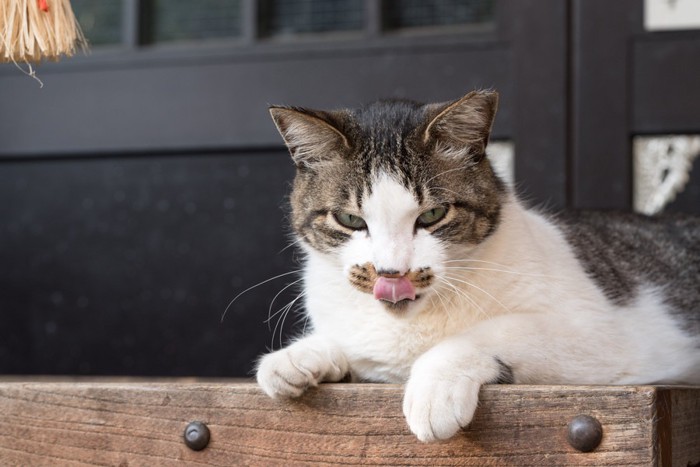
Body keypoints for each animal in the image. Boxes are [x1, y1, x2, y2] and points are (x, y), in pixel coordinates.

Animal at [256, 90, 700, 442]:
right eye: (349, 220)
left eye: (432, 215)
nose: (392, 273)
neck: (410, 325)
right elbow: (353, 347)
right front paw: (298, 356)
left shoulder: (602, 337)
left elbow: (492, 331)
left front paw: (434, 388)